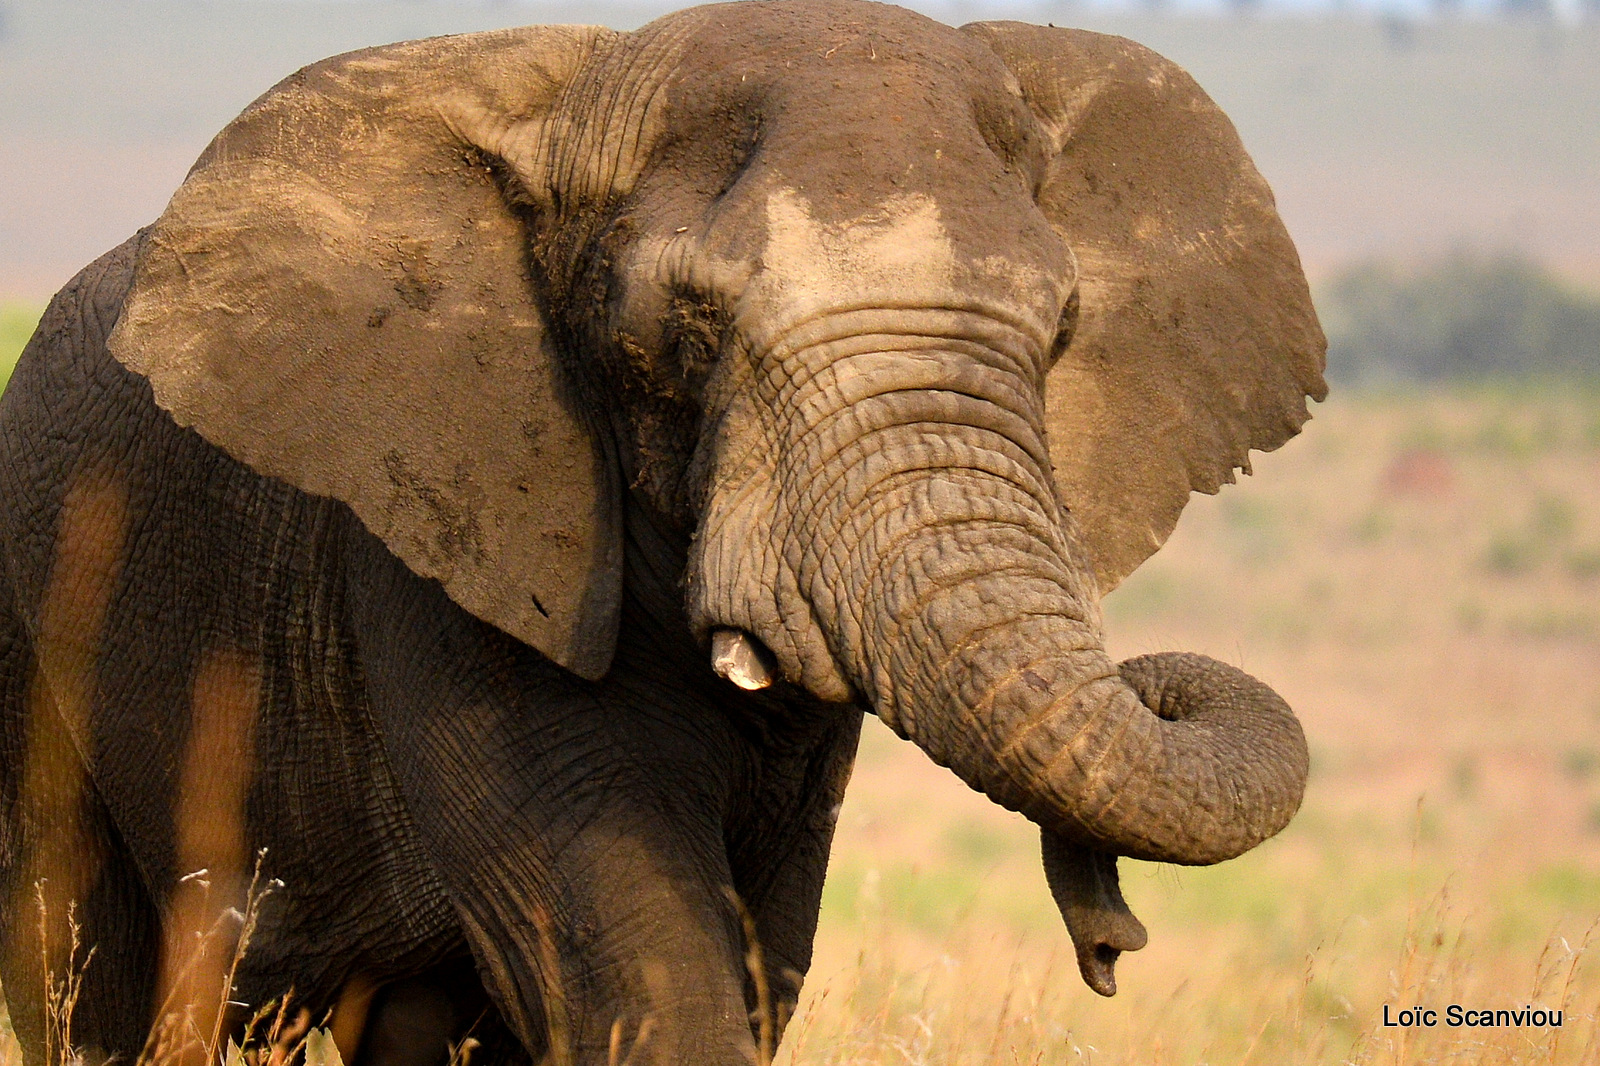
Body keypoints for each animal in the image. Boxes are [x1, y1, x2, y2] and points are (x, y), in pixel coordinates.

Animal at [0, 0, 1324, 1056]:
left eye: (1063, 325)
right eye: (688, 324)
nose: (1112, 946)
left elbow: (758, 952)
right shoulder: (436, 550)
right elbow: (642, 965)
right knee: (82, 980)